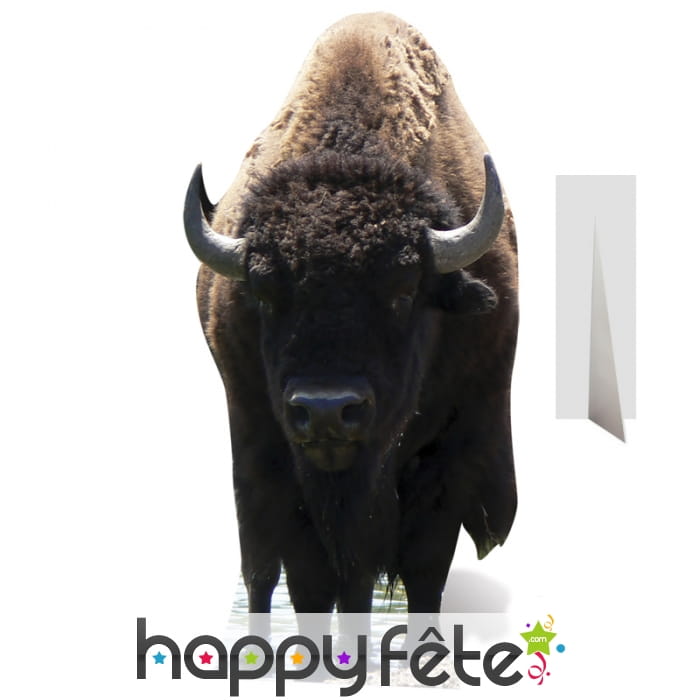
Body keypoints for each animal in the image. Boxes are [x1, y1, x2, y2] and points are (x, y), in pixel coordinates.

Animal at [184, 13, 518, 616]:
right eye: (265, 292)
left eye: (405, 289)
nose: (326, 412)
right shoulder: (270, 454)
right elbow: (310, 580)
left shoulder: (444, 462)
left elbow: (421, 574)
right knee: (262, 572)